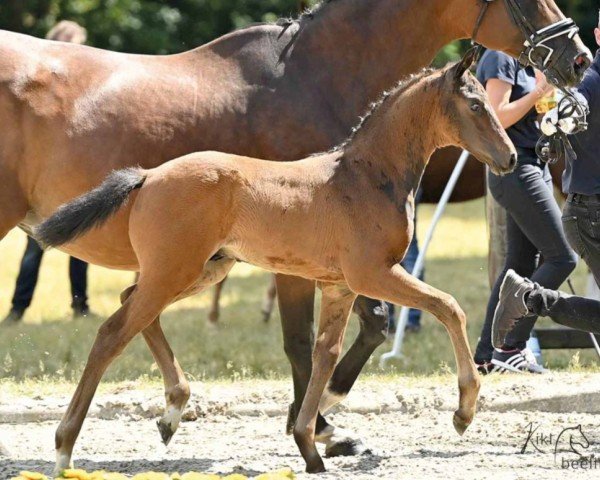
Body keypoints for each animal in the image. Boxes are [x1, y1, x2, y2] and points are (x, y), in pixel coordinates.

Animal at [38, 52, 516, 472]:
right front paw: (464, 411)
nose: (510, 156)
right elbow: (449, 306)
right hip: (176, 270)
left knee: (129, 302)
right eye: (475, 104)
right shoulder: (373, 273)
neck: (365, 176)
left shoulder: (340, 286)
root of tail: (149, 175)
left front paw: (309, 443)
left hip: (202, 269)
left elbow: (326, 353)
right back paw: (64, 449)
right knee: (112, 332)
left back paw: (172, 411)